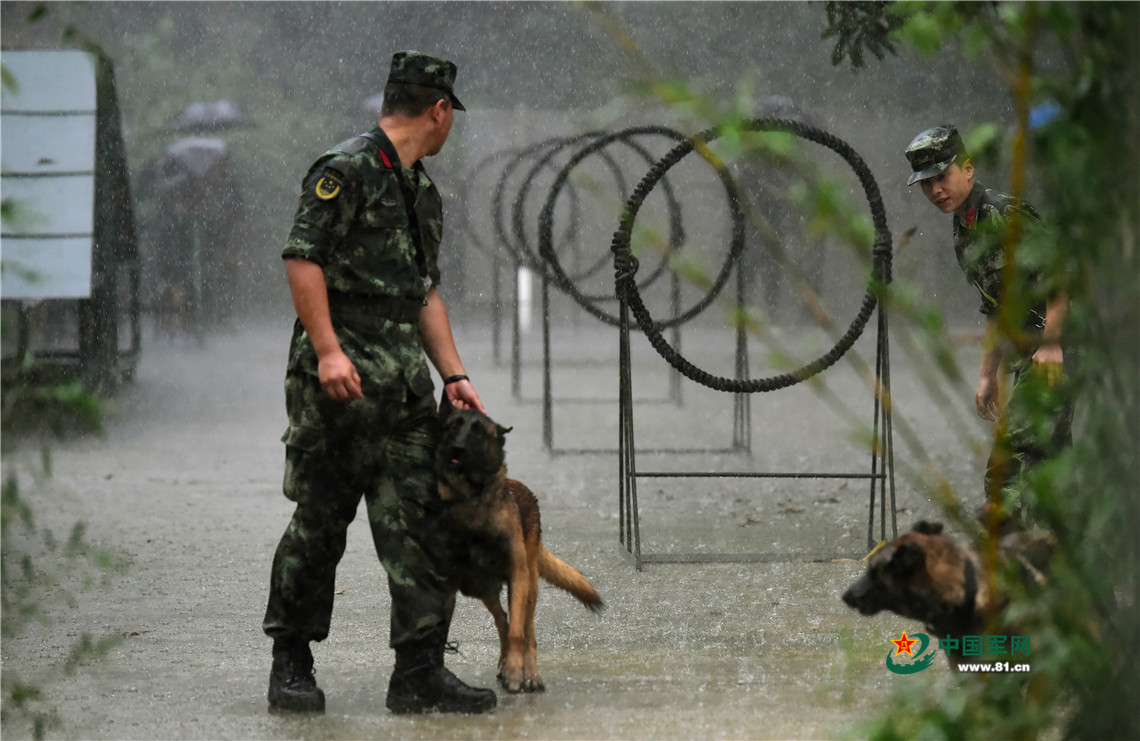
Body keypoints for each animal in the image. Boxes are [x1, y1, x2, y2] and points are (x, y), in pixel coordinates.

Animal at [433, 401, 606, 688]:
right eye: (453, 426)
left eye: (478, 431)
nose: (456, 448)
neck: (474, 501)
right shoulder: (448, 583)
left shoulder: (517, 575)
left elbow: (518, 632)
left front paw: (517, 672)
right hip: (482, 587)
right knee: (502, 619)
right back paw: (504, 663)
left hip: (528, 584)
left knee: (526, 628)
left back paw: (530, 674)